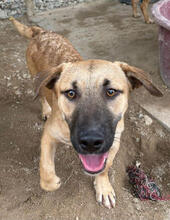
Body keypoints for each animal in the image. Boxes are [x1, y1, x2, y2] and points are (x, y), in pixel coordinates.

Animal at [10, 18, 162, 209]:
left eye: (111, 92)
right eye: (70, 93)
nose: (91, 142)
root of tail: (42, 32)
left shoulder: (114, 142)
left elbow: (105, 167)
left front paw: (103, 187)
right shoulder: (49, 134)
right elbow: (45, 166)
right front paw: (50, 181)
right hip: (34, 77)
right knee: (41, 95)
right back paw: (46, 109)